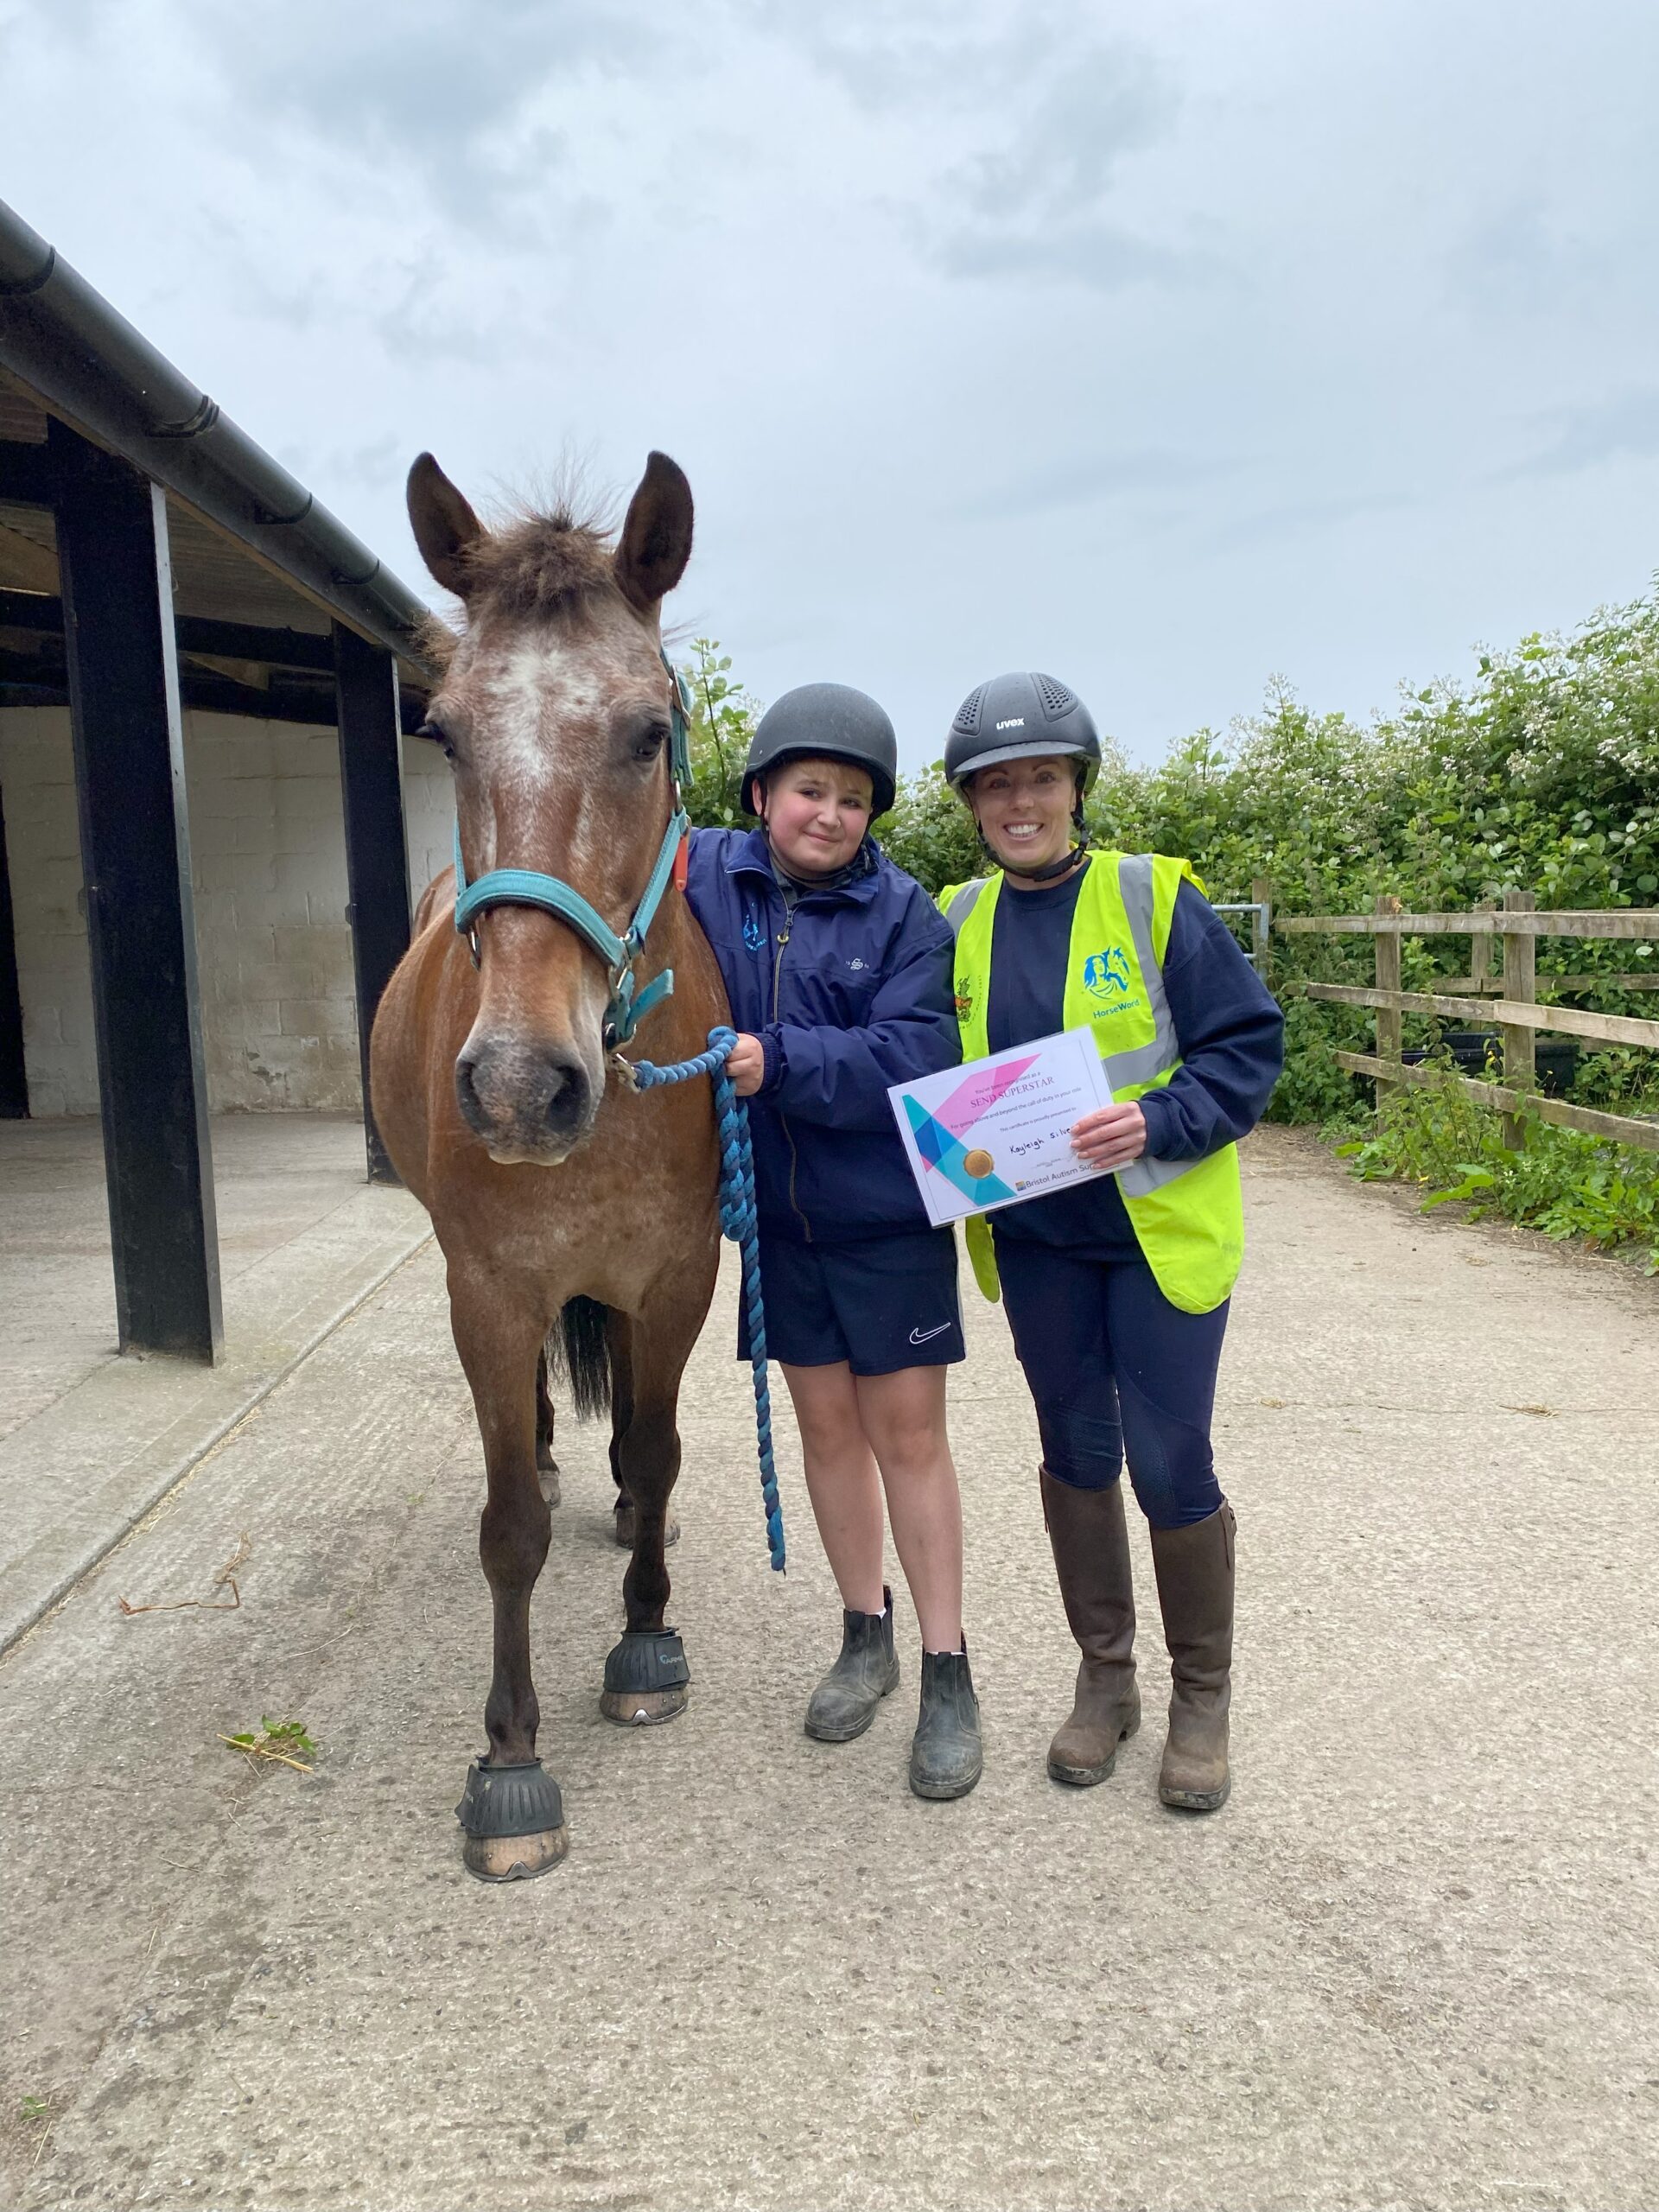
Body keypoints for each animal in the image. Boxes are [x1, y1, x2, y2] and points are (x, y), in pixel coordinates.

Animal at [370, 449, 728, 1880]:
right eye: (446, 732)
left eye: (647, 731)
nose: (522, 1086)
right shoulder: (491, 1290)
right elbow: (509, 1525)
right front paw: (511, 1760)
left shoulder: (678, 1277)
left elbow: (662, 1449)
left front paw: (645, 1641)